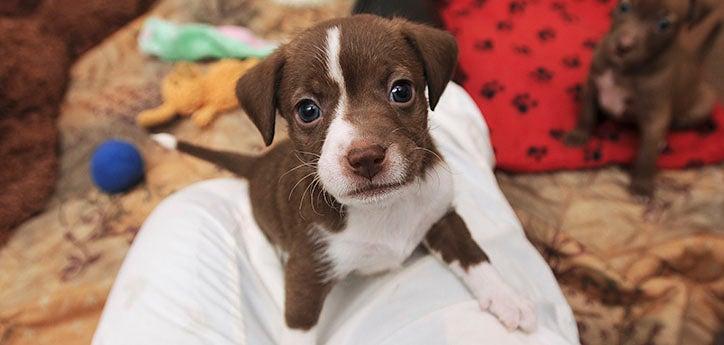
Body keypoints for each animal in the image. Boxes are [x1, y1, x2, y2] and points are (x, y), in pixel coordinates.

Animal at [154, 14, 536, 344]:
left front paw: (506, 297)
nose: (365, 157)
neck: (382, 208)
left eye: (401, 91)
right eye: (307, 110)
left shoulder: (441, 215)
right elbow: (298, 328)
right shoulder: (306, 273)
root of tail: (258, 162)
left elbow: (473, 253)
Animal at [564, 0, 724, 196]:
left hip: (704, 103)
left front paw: (642, 184)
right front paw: (578, 136)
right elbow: (586, 114)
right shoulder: (591, 87)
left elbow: (646, 153)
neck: (622, 70)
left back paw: (662, 142)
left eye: (663, 25)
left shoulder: (655, 115)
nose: (623, 46)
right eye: (624, 6)